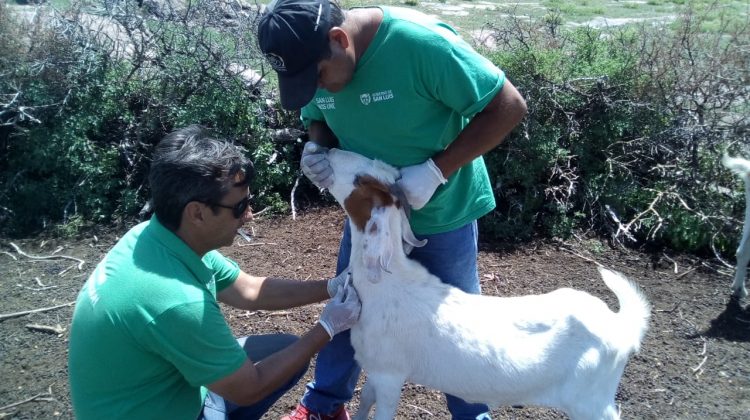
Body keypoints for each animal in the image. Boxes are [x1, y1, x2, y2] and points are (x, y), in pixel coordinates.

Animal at [326, 147, 656, 420]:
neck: (386, 284)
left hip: (590, 402)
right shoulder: (375, 369)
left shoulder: (390, 375)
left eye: (359, 180)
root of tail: (620, 326)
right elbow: (364, 399)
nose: (329, 151)